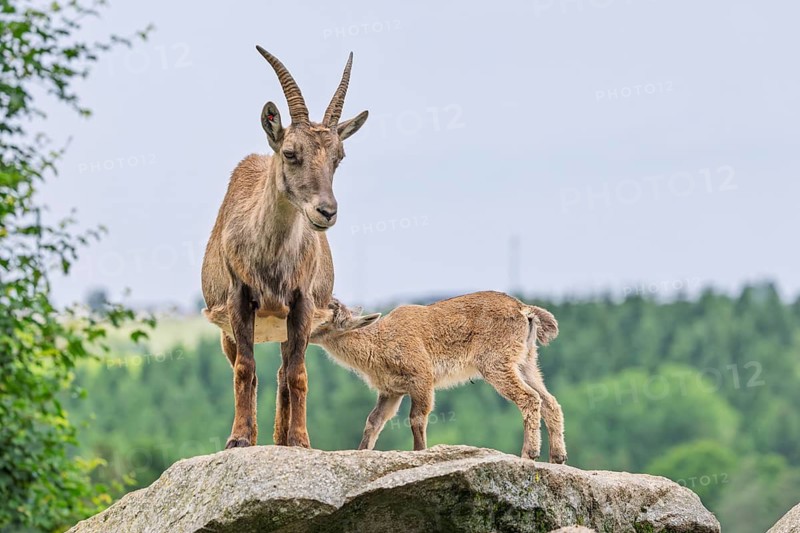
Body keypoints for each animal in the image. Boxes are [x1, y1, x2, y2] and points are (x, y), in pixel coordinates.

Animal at [201, 46, 369, 449]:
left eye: (338, 157)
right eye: (291, 152)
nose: (326, 211)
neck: (271, 261)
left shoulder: (302, 302)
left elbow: (297, 374)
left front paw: (300, 441)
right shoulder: (239, 299)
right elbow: (245, 369)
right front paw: (238, 440)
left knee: (281, 372)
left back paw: (280, 438)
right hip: (228, 331)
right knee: (250, 369)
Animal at [309, 292, 567, 463]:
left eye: (323, 319)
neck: (379, 341)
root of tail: (524, 310)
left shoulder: (422, 378)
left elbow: (417, 418)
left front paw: (420, 453)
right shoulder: (391, 391)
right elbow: (374, 421)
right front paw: (362, 452)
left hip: (497, 362)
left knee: (529, 398)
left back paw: (529, 454)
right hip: (526, 362)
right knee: (550, 402)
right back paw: (557, 457)